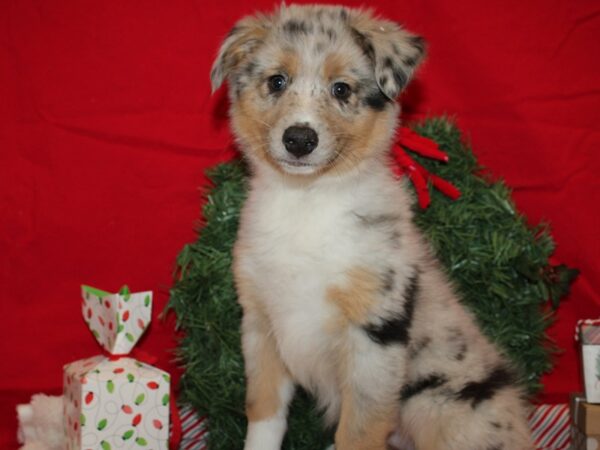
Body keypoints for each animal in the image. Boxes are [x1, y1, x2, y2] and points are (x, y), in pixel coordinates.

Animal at [209, 4, 532, 450]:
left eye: (342, 89)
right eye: (277, 81)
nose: (299, 139)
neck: (307, 200)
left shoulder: (375, 333)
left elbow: (358, 430)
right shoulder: (260, 320)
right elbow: (264, 412)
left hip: (437, 402)